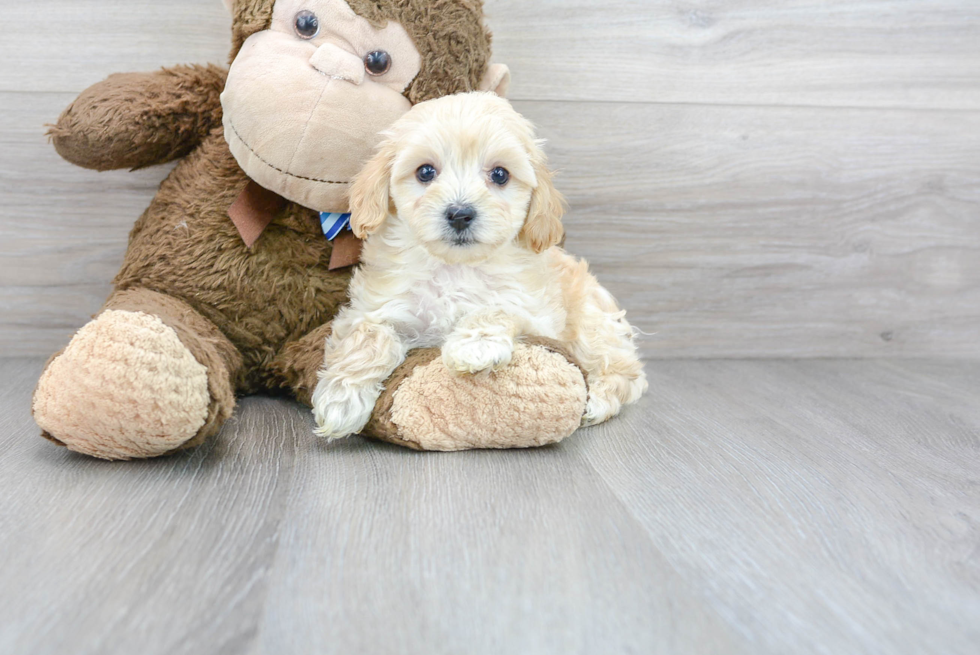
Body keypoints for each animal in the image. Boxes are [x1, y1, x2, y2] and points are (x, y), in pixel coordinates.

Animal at [314, 91, 648, 440]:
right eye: (425, 172)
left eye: (500, 174)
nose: (460, 213)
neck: (455, 267)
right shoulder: (375, 306)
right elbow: (367, 337)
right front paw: (341, 400)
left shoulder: (535, 312)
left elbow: (497, 308)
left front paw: (474, 347)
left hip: (592, 321)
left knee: (625, 371)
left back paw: (599, 400)